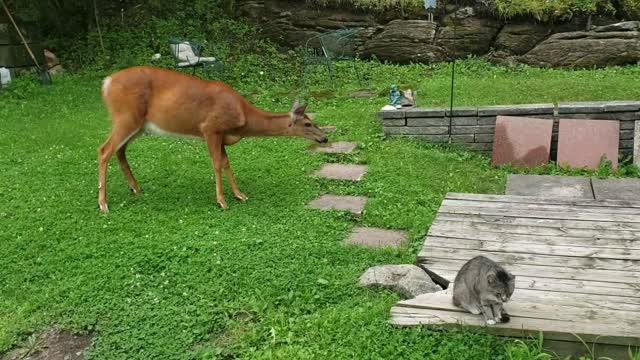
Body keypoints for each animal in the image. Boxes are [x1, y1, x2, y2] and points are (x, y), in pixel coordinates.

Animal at [97, 65, 328, 211]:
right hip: (125, 116)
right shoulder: (210, 128)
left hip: (138, 125)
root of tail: (106, 83)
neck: (243, 116)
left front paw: (239, 194)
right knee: (104, 150)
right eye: (308, 123)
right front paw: (222, 201)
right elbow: (217, 163)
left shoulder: (222, 135)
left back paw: (135, 188)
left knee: (120, 150)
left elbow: (226, 162)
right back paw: (103, 204)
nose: (324, 138)